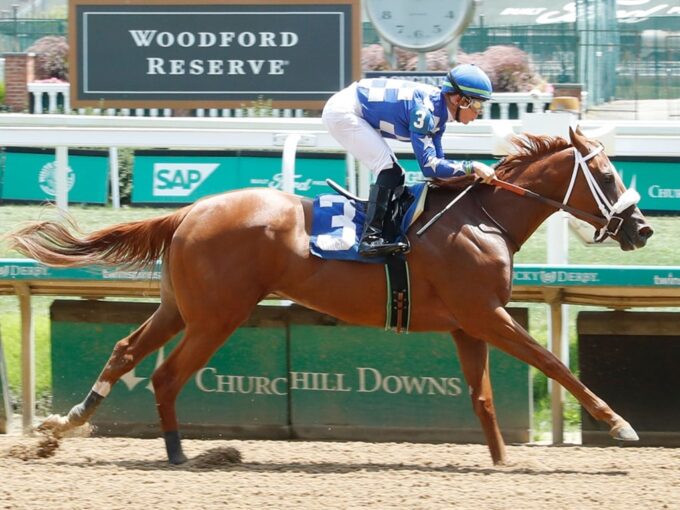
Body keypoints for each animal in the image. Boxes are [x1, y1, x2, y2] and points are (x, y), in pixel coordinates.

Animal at [6, 126, 652, 462]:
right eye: (609, 175)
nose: (642, 229)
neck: (483, 216)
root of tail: (189, 210)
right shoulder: (488, 314)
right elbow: (554, 364)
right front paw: (620, 425)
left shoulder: (469, 323)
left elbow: (484, 397)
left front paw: (499, 462)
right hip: (218, 315)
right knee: (165, 375)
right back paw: (180, 453)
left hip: (180, 306)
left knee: (125, 350)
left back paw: (65, 423)